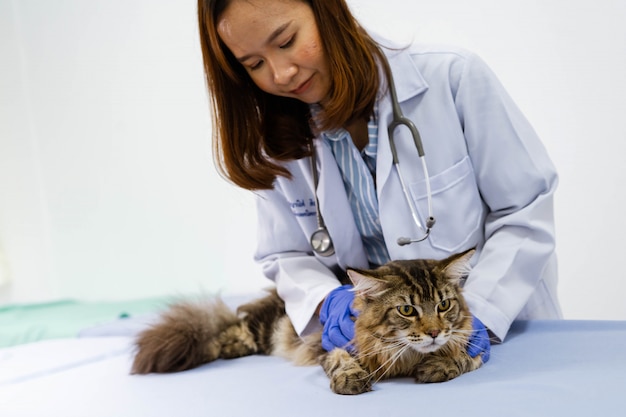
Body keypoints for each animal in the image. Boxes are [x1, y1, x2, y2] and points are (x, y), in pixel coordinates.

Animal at [132, 249, 482, 394]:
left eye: (443, 305)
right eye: (407, 310)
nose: (434, 332)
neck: (407, 358)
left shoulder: (472, 339)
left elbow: (465, 356)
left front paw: (441, 364)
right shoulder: (330, 346)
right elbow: (341, 361)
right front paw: (351, 378)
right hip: (270, 327)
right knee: (234, 326)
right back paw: (229, 345)